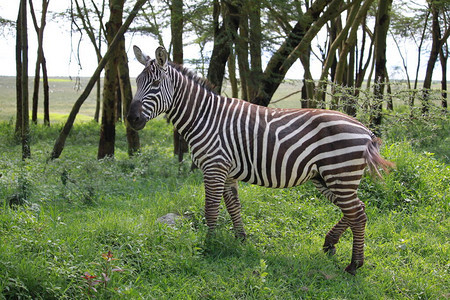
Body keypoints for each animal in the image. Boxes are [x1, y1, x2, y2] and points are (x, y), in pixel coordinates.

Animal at [125, 45, 390, 276]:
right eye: (137, 82)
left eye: (156, 84)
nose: (131, 119)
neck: (204, 117)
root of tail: (365, 130)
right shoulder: (227, 171)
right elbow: (233, 206)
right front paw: (241, 240)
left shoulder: (214, 167)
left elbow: (211, 209)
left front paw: (209, 245)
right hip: (326, 177)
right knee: (358, 209)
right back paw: (330, 244)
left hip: (339, 173)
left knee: (357, 213)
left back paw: (354, 265)